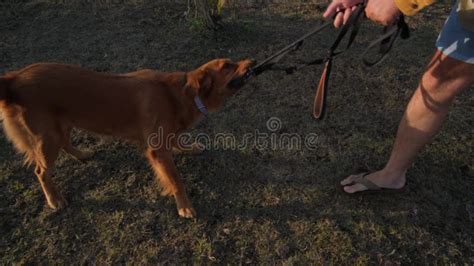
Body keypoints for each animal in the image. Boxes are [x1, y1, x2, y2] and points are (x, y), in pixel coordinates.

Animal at [0, 59, 256, 218]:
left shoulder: (166, 135)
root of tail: (14, 78)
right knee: (41, 171)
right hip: (47, 137)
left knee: (64, 143)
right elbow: (175, 181)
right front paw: (184, 206)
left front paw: (189, 147)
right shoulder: (157, 150)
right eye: (227, 65)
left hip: (60, 125)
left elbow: (177, 141)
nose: (253, 62)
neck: (179, 95)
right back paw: (55, 199)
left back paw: (83, 154)